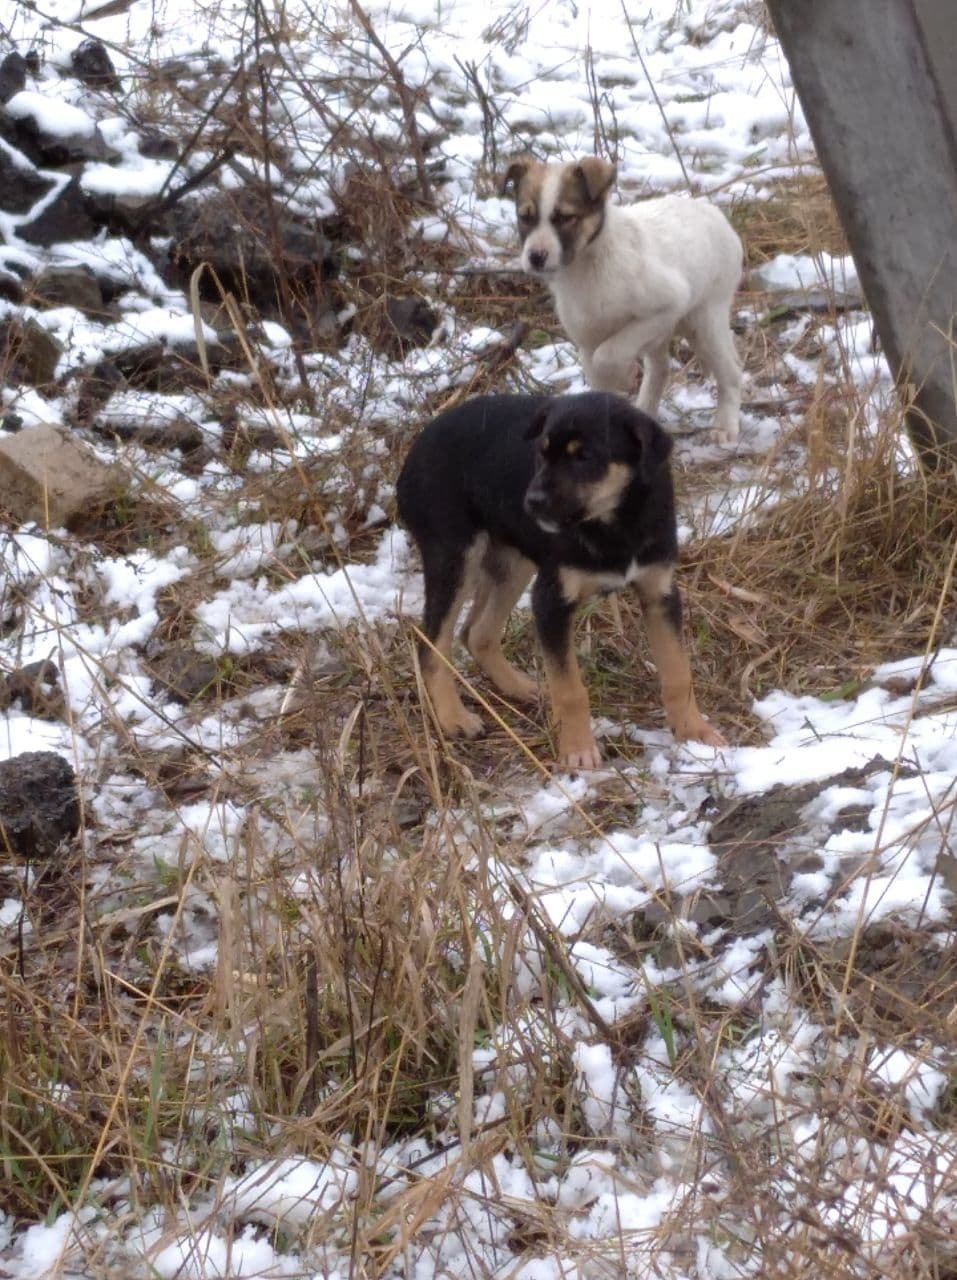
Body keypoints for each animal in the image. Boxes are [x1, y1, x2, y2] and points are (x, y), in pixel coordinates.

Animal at [391, 391, 721, 768]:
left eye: (584, 457)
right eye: (541, 452)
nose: (532, 502)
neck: (614, 523)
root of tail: (414, 450)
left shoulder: (660, 594)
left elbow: (678, 672)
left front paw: (694, 731)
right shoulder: (552, 601)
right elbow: (569, 689)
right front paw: (577, 749)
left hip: (512, 561)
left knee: (477, 633)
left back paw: (519, 687)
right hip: (455, 557)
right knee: (432, 645)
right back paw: (454, 718)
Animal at [504, 158, 742, 445]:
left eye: (565, 218)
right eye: (524, 217)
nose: (535, 257)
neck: (587, 268)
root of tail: (713, 212)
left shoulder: (667, 304)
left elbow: (608, 353)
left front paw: (623, 376)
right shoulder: (587, 340)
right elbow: (597, 376)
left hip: (703, 321)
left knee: (731, 372)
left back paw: (725, 425)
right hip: (667, 332)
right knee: (660, 370)